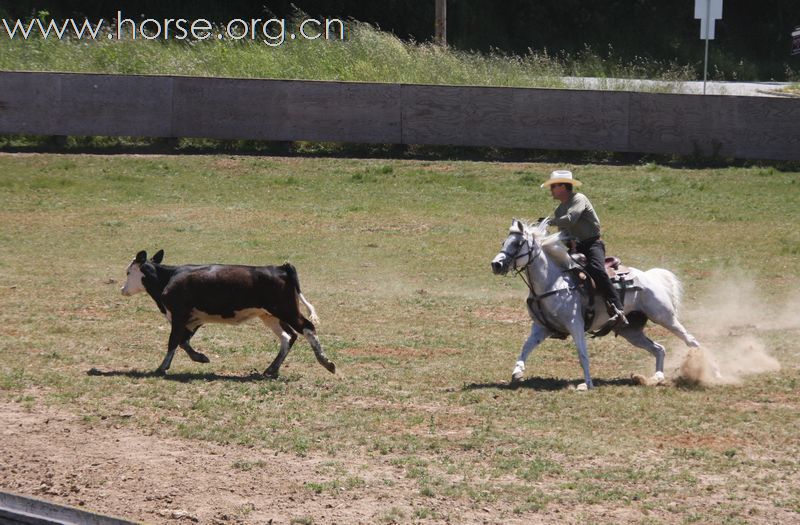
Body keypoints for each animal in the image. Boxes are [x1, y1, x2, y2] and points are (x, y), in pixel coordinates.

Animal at [120, 250, 336, 376]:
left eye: (128, 272)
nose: (123, 289)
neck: (169, 278)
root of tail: (280, 268)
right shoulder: (194, 319)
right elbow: (184, 342)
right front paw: (201, 357)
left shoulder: (179, 316)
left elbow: (173, 342)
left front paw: (162, 367)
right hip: (270, 315)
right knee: (288, 336)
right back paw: (271, 369)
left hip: (286, 310)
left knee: (307, 327)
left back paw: (326, 362)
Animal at [490, 218, 696, 388]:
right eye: (503, 242)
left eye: (517, 243)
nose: (496, 265)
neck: (554, 282)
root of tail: (649, 276)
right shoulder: (542, 327)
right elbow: (526, 347)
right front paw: (517, 372)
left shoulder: (575, 324)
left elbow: (582, 354)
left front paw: (587, 384)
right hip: (631, 332)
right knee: (659, 349)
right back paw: (656, 378)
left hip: (663, 316)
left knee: (690, 339)